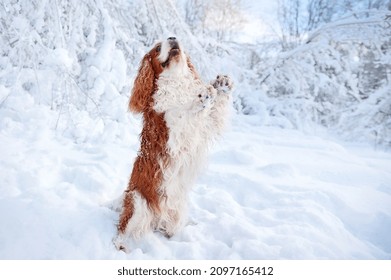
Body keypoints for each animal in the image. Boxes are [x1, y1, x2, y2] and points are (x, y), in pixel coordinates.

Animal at [113, 37, 233, 252]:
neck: (176, 83)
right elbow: (182, 113)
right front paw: (200, 97)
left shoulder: (205, 128)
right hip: (137, 201)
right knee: (123, 228)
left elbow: (214, 110)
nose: (172, 38)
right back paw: (121, 244)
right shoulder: (172, 134)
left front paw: (221, 85)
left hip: (177, 210)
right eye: (157, 48)